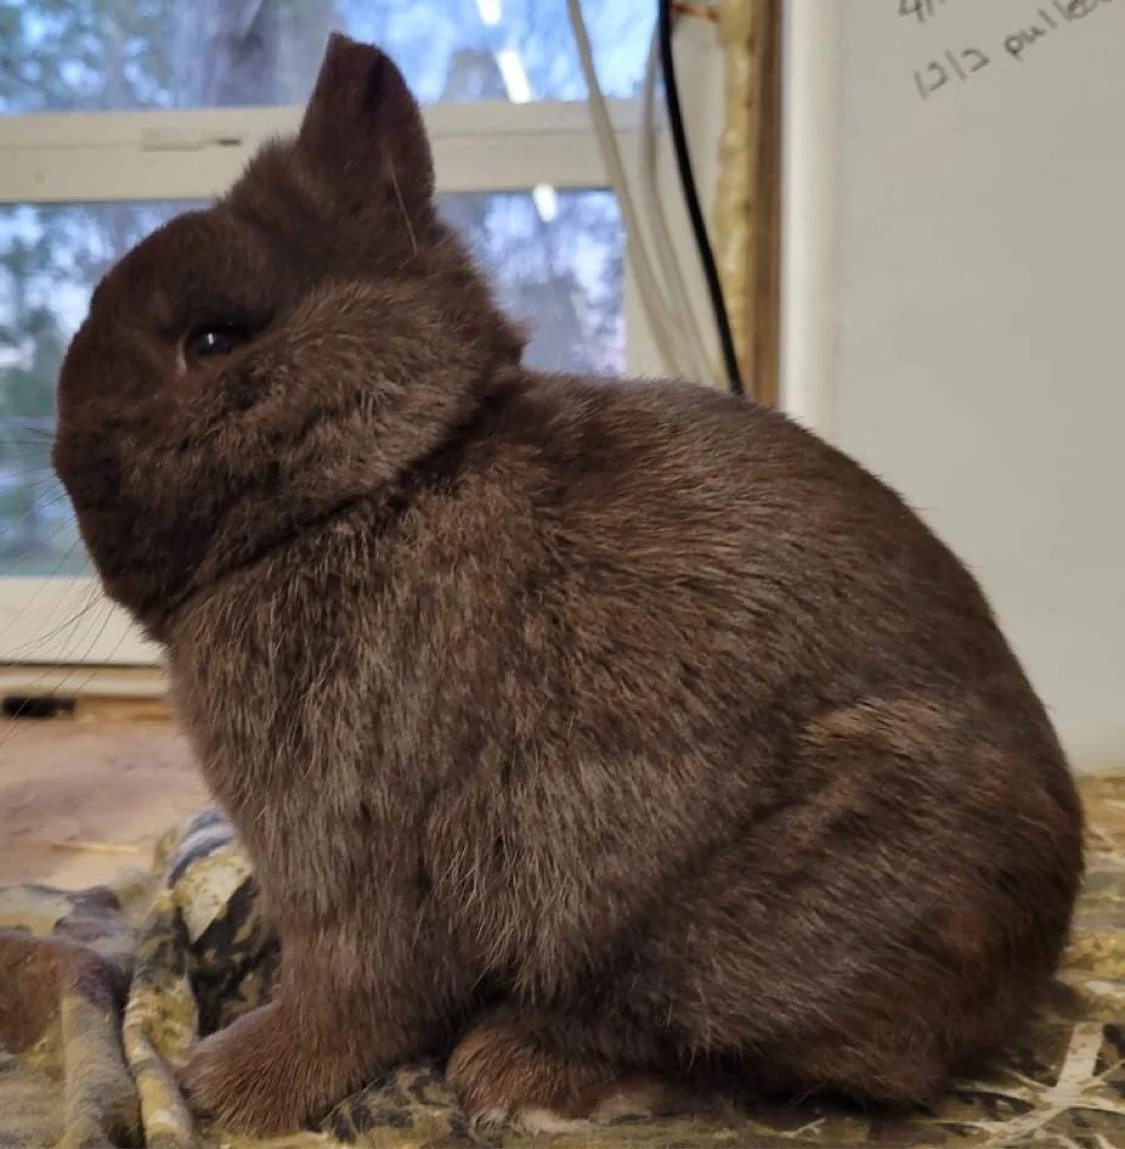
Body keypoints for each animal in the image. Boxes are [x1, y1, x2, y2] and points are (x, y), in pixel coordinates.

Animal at [52, 33, 1084, 1138]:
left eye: (212, 341)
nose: (70, 470)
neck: (374, 481)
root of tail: (1032, 950)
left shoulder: (346, 849)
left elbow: (352, 993)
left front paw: (226, 1085)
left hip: (739, 934)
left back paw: (517, 1067)